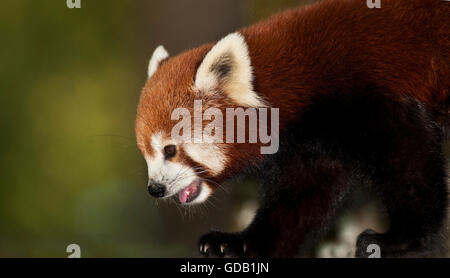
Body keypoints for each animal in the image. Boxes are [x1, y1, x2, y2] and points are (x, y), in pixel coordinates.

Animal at [136, 0, 450, 258]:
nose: (155, 189)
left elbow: (410, 156)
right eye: (146, 153)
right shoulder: (310, 144)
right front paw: (238, 243)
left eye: (170, 150)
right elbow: (301, 198)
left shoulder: (369, 97)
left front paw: (402, 239)